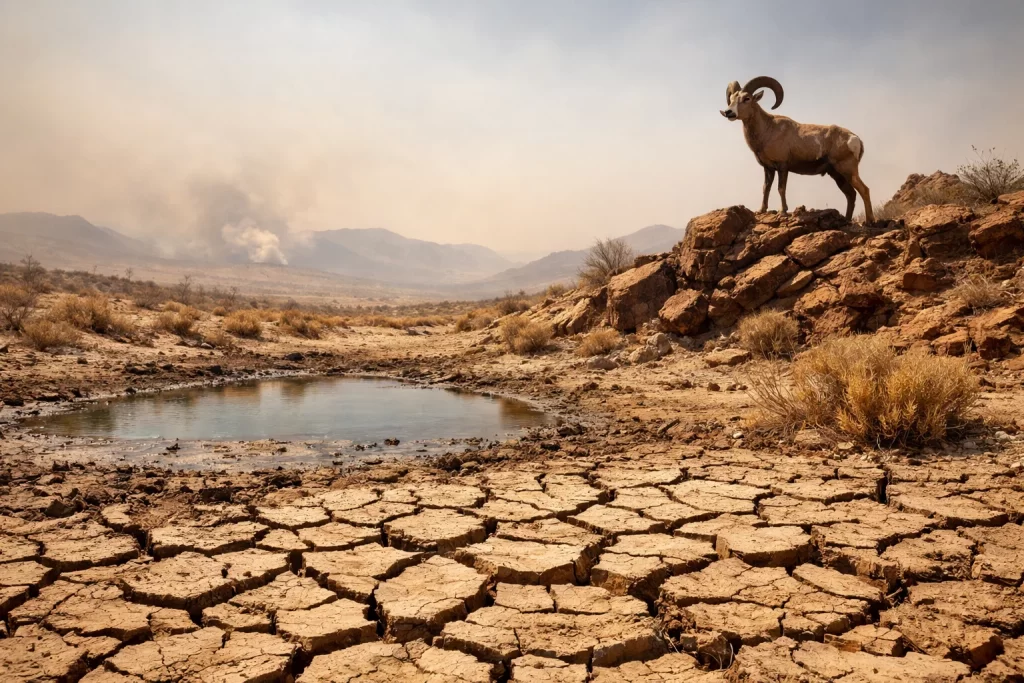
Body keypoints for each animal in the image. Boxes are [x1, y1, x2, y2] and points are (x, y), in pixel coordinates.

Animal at [721, 76, 874, 224]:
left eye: (747, 98)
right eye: (732, 99)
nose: (729, 112)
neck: (768, 131)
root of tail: (855, 139)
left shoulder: (782, 166)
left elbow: (781, 188)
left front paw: (782, 211)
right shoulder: (768, 168)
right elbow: (766, 188)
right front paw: (761, 210)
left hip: (848, 170)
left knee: (864, 190)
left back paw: (870, 221)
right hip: (837, 175)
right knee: (851, 194)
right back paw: (847, 220)